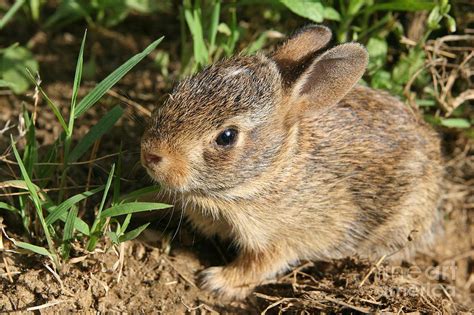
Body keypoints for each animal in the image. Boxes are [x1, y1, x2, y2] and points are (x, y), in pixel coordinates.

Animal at [142, 25, 444, 300]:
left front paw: (216, 281)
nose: (150, 153)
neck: (268, 173)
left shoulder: (281, 239)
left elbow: (257, 265)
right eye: (180, 88)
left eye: (227, 137)